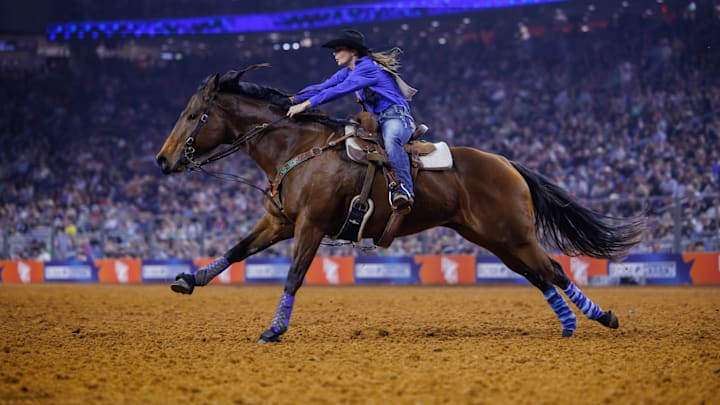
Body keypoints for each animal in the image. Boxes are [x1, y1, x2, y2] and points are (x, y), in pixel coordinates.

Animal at [155, 65, 644, 343]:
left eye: (194, 114)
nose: (162, 160)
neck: (299, 148)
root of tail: (506, 162)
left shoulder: (310, 225)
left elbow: (294, 275)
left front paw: (274, 329)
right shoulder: (279, 221)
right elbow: (237, 250)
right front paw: (187, 278)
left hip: (514, 234)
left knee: (554, 270)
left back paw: (602, 318)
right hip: (495, 240)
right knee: (538, 275)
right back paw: (569, 325)